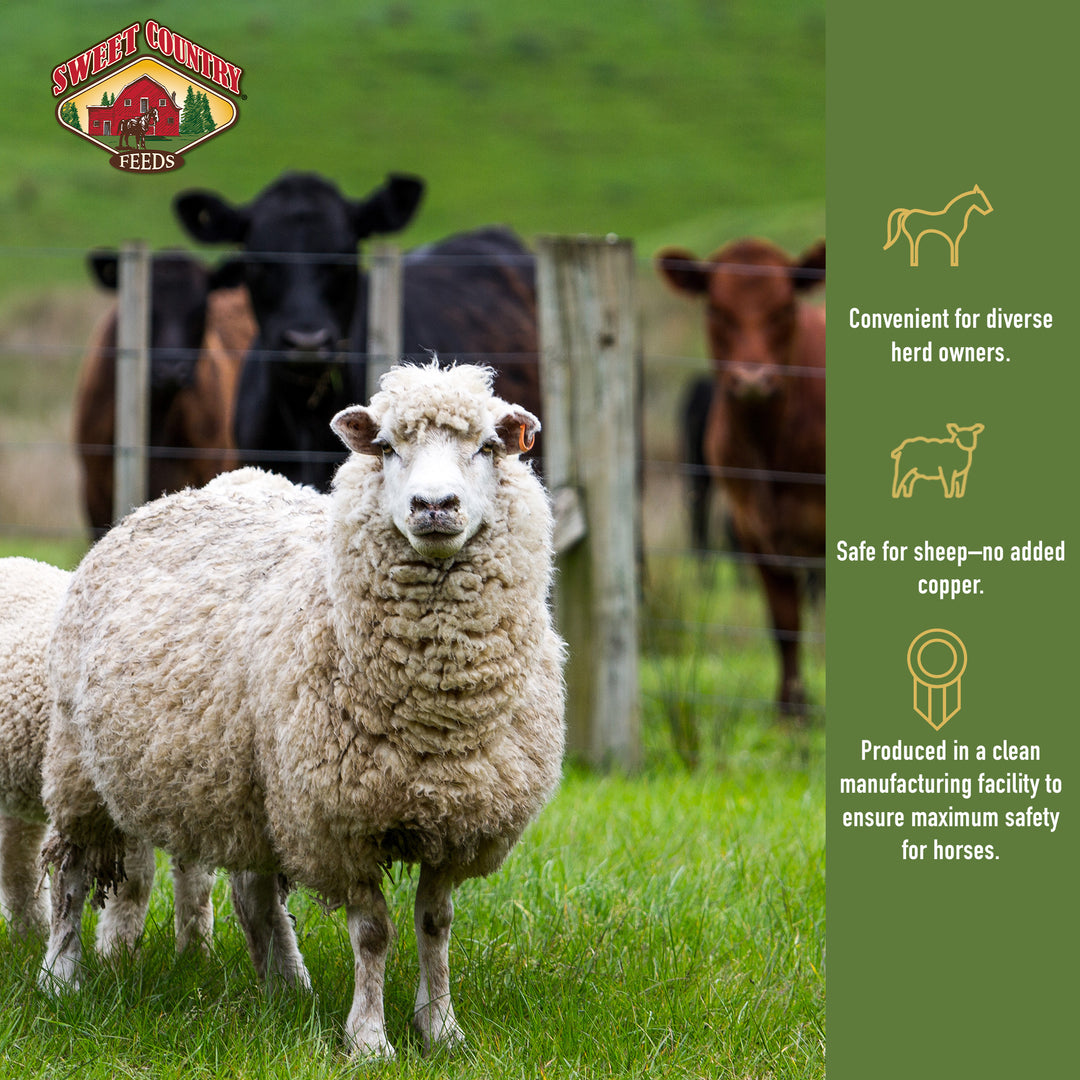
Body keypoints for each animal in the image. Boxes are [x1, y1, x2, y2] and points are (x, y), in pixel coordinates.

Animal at [0, 557, 215, 953]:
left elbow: (197, 886)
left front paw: (197, 954)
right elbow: (136, 882)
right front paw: (117, 952)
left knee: (17, 862)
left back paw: (29, 937)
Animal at [40, 362, 566, 1059]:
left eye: (486, 448)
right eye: (387, 448)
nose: (434, 507)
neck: (435, 715)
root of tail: (173, 496)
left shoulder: (455, 818)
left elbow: (435, 924)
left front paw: (441, 1029)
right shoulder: (339, 821)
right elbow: (373, 933)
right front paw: (369, 1039)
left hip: (250, 785)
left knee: (254, 891)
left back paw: (287, 985)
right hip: (80, 763)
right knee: (72, 872)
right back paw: (59, 976)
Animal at [657, 237, 826, 717]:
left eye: (784, 307)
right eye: (716, 309)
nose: (752, 379)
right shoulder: (752, 529)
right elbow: (785, 624)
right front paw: (792, 712)